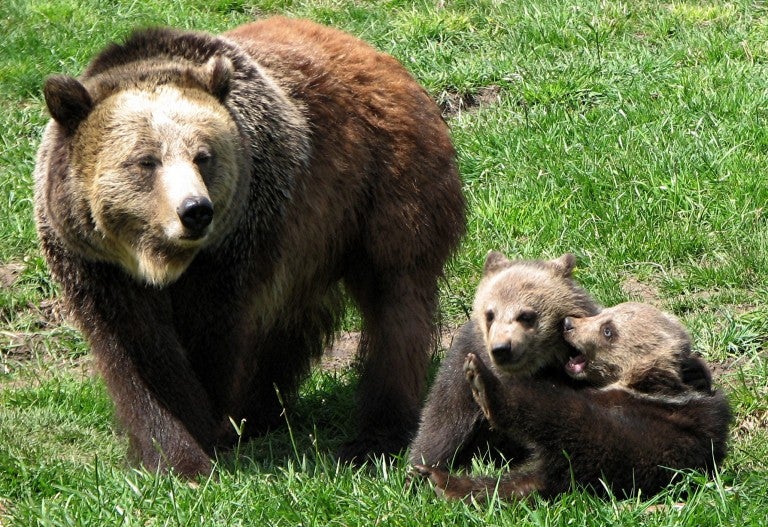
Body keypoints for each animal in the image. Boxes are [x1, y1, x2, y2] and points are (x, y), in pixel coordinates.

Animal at [33, 16, 466, 476]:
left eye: (203, 155)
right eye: (146, 160)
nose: (195, 210)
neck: (161, 261)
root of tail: (378, 55)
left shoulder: (234, 246)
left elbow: (212, 339)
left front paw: (203, 435)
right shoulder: (96, 266)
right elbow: (142, 355)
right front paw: (176, 454)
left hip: (384, 188)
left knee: (395, 304)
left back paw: (374, 436)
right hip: (310, 236)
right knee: (290, 323)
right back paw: (258, 414)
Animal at [416, 302, 732, 501]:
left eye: (608, 330)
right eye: (605, 313)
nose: (568, 323)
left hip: (605, 441)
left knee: (553, 415)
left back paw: (483, 384)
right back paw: (439, 479)